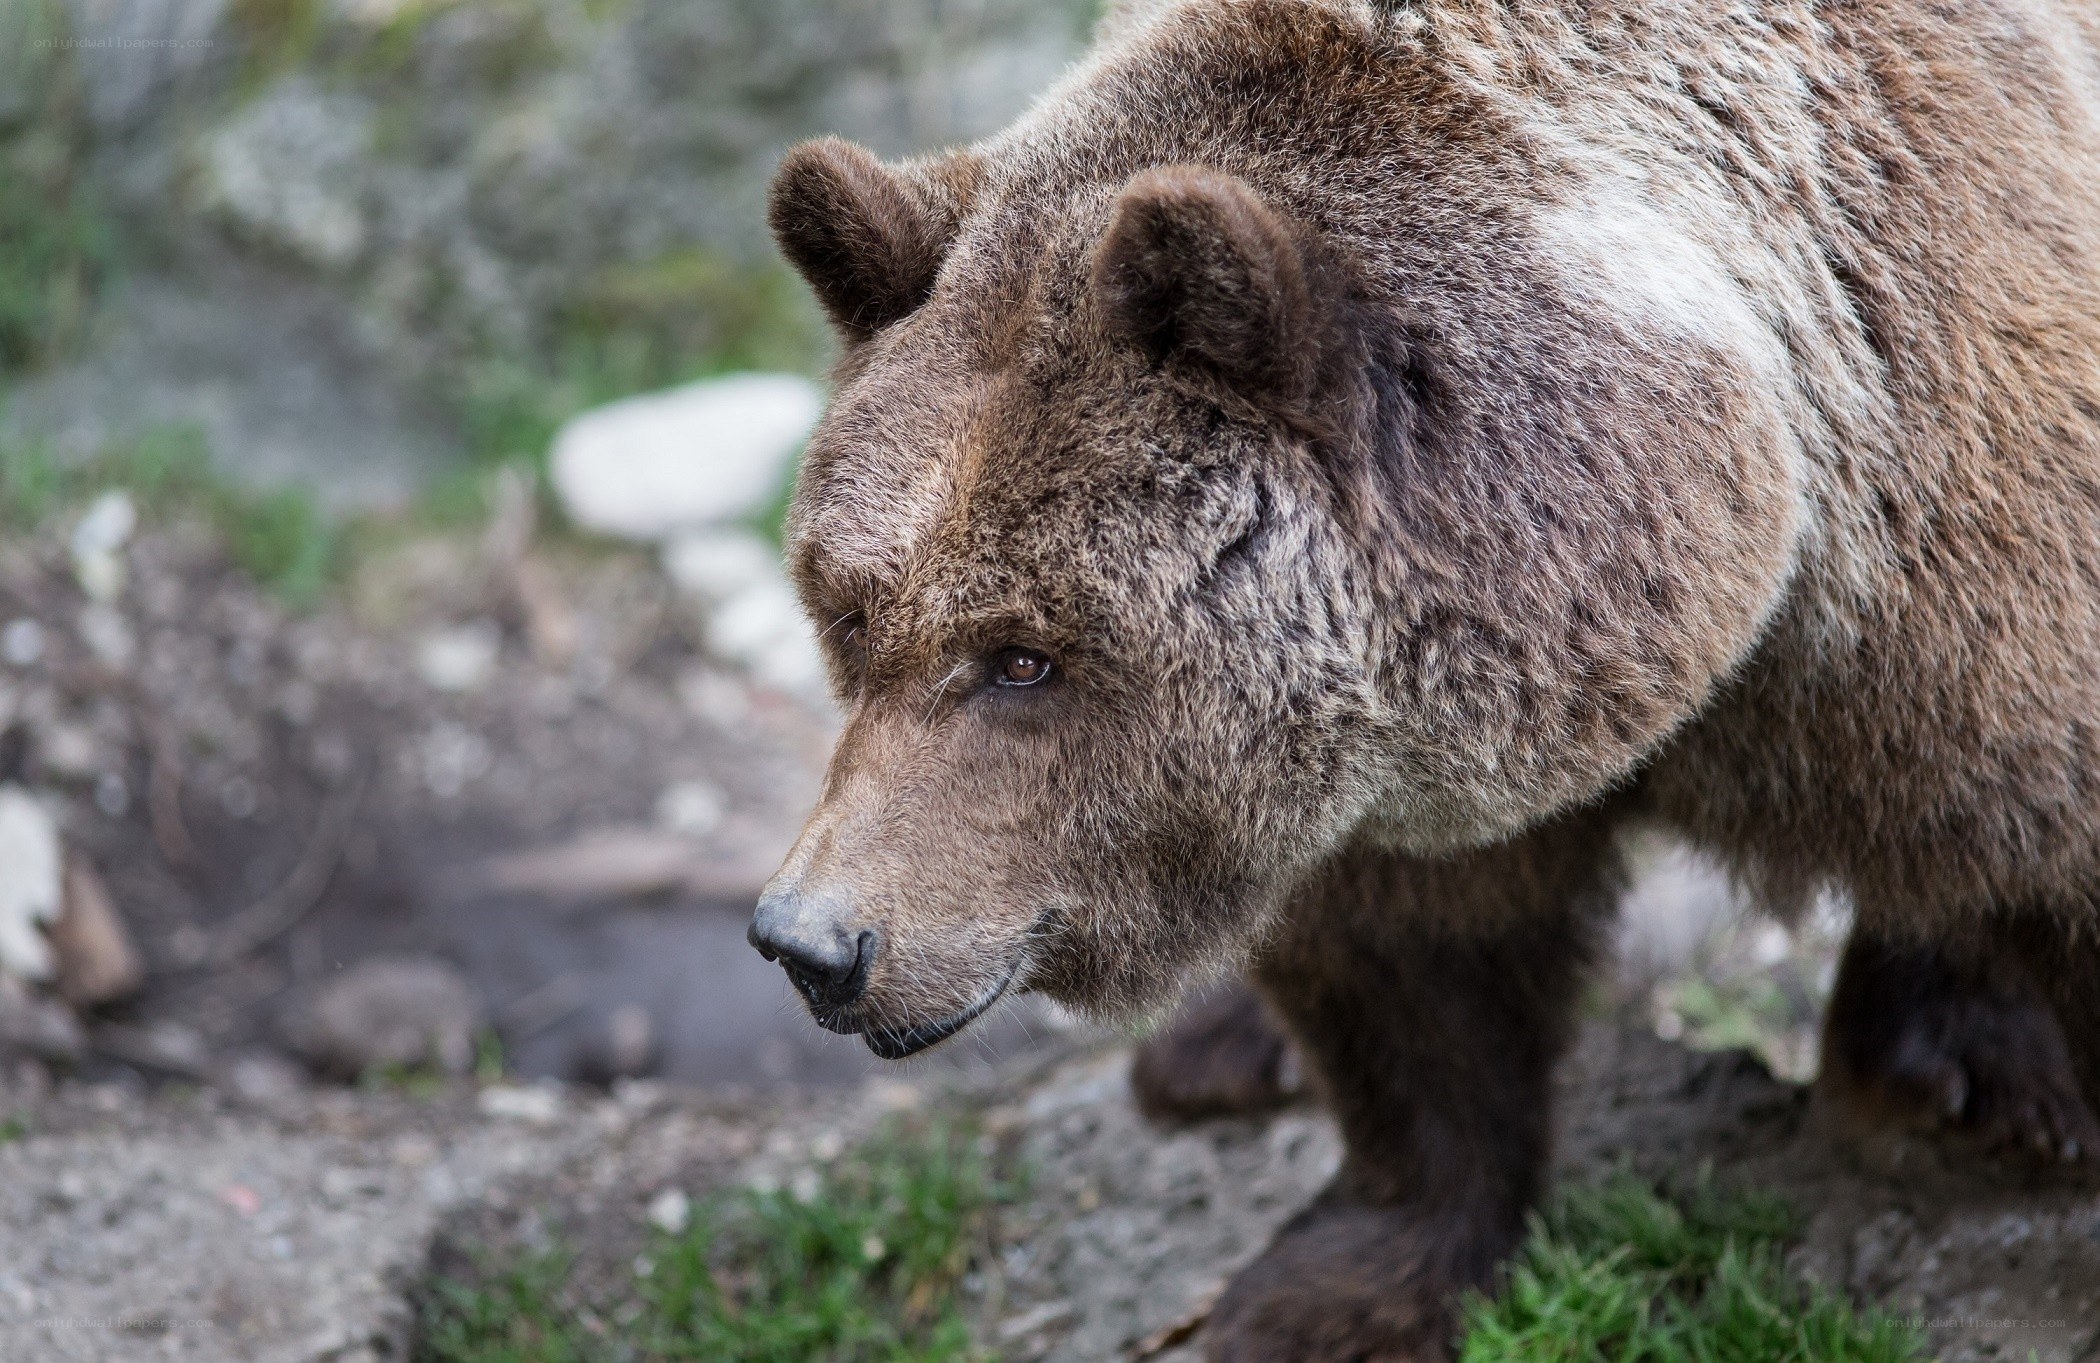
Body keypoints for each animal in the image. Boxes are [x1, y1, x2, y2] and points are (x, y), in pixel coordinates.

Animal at [747, 0, 2100, 1356]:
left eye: (1023, 655)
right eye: (852, 612)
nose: (811, 942)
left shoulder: (1952, 535)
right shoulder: (1370, 759)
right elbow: (1411, 975)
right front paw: (1337, 1282)